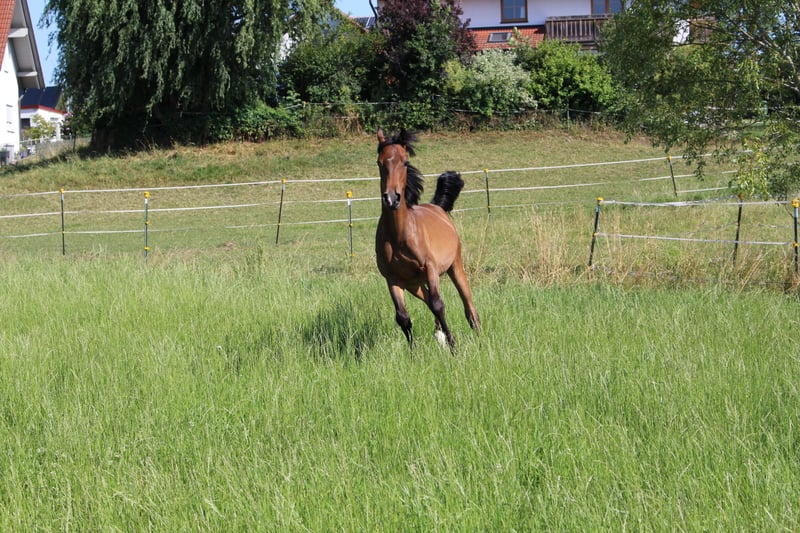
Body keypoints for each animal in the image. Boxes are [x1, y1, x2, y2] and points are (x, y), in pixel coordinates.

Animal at [375, 128, 480, 349]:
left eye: (405, 162)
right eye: (379, 162)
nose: (391, 199)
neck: (399, 235)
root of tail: (437, 207)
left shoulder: (430, 268)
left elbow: (439, 305)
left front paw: (453, 347)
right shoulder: (392, 278)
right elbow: (403, 317)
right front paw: (413, 352)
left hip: (455, 267)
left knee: (469, 309)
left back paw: (479, 338)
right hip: (414, 285)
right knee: (428, 301)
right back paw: (438, 334)